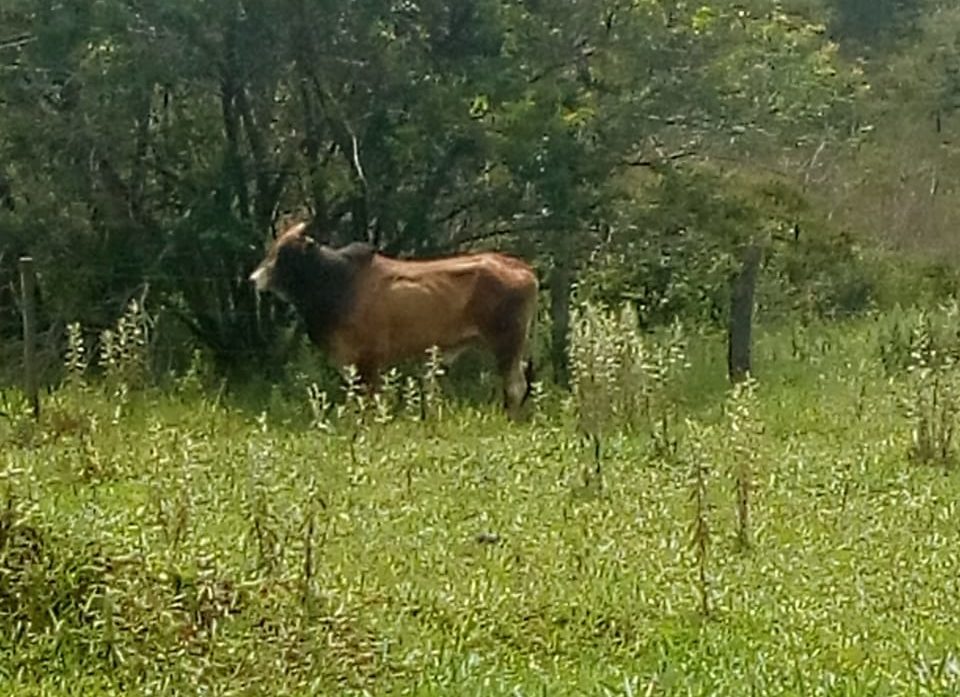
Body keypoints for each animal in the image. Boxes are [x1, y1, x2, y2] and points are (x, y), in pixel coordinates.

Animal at [249, 222, 540, 414]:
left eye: (284, 254)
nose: (254, 279)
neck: (338, 281)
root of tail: (523, 269)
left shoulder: (368, 360)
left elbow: (368, 400)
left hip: (507, 343)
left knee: (515, 386)